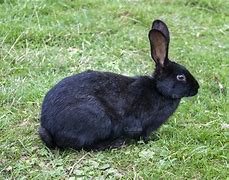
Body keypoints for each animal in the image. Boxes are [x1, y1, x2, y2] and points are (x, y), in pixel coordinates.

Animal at [39, 19, 199, 150]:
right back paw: (115, 143)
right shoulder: (140, 124)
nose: (197, 88)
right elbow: (141, 134)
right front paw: (152, 139)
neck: (158, 90)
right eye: (181, 77)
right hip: (99, 120)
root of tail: (50, 128)